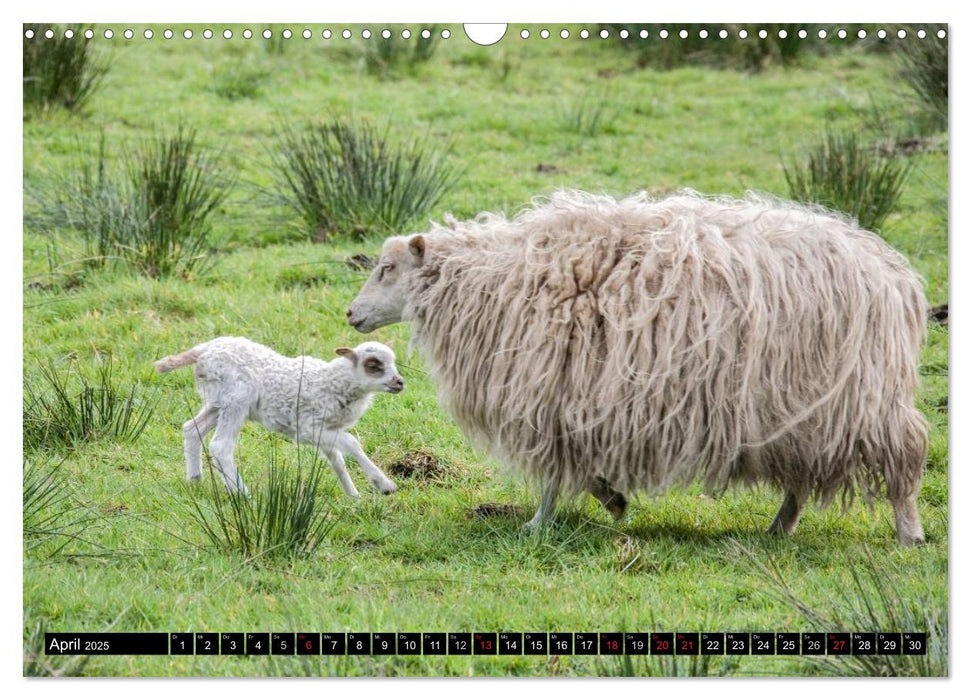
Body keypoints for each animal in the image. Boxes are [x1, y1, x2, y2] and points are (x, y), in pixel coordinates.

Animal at [155, 338, 402, 498]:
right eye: (373, 365)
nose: (400, 382)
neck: (333, 381)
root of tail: (203, 350)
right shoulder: (307, 427)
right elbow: (352, 443)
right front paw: (384, 485)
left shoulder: (324, 430)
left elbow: (337, 459)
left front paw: (353, 495)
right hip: (237, 400)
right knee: (221, 446)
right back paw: (242, 494)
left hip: (218, 402)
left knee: (191, 429)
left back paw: (195, 480)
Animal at [346, 191, 932, 548]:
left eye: (387, 268)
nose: (351, 314)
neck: (491, 279)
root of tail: (892, 273)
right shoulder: (568, 402)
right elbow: (574, 470)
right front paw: (608, 500)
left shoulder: (552, 396)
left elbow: (557, 474)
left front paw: (544, 522)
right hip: (805, 409)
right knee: (804, 475)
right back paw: (778, 527)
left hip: (861, 400)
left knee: (904, 455)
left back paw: (908, 534)